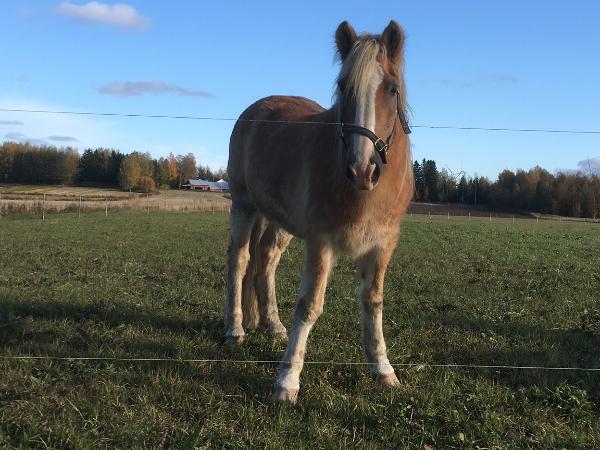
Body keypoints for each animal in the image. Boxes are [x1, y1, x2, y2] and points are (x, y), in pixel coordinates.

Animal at [224, 20, 413, 403]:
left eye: (391, 89)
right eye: (343, 87)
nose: (362, 170)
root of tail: (256, 109)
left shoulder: (382, 244)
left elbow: (373, 302)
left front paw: (383, 369)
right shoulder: (320, 241)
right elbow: (310, 305)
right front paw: (287, 381)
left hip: (279, 221)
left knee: (265, 259)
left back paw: (272, 324)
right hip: (243, 204)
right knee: (240, 259)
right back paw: (235, 330)